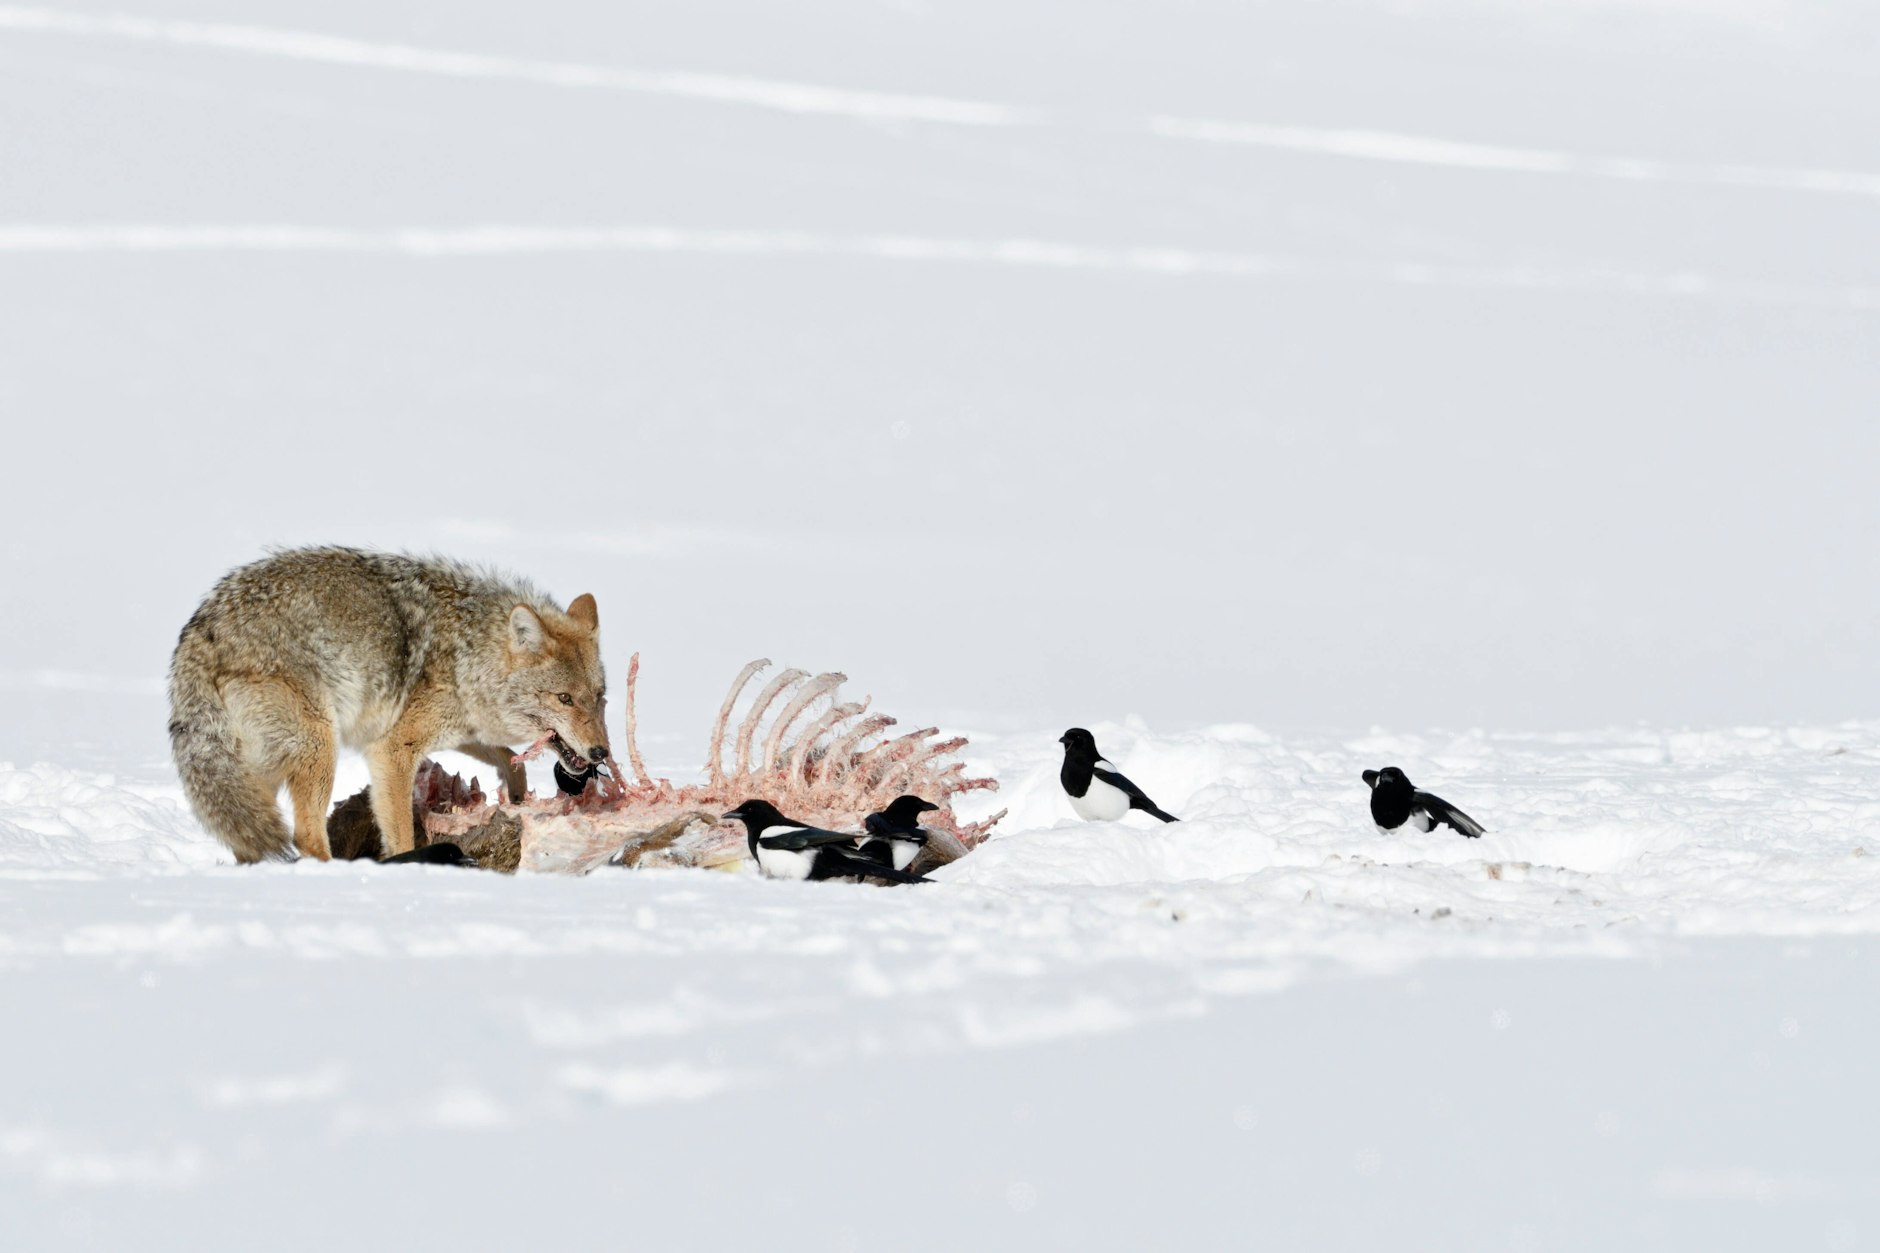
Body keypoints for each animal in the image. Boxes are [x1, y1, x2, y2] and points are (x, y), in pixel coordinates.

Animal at [168, 547, 610, 862]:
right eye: (564, 698)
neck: (467, 655)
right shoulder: (392, 748)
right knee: (306, 835)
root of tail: (203, 629)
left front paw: (515, 792)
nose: (601, 752)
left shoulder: (456, 729)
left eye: (600, 697)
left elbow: (507, 756)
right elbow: (399, 834)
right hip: (319, 747)